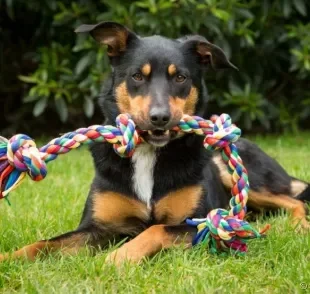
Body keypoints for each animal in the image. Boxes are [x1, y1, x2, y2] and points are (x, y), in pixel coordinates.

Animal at [0, 20, 310, 264]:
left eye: (180, 77)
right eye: (137, 76)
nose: (159, 117)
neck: (148, 153)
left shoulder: (198, 224)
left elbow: (155, 229)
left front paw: (119, 257)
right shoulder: (97, 228)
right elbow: (45, 244)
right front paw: (9, 258)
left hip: (240, 174)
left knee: (293, 201)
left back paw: (298, 225)